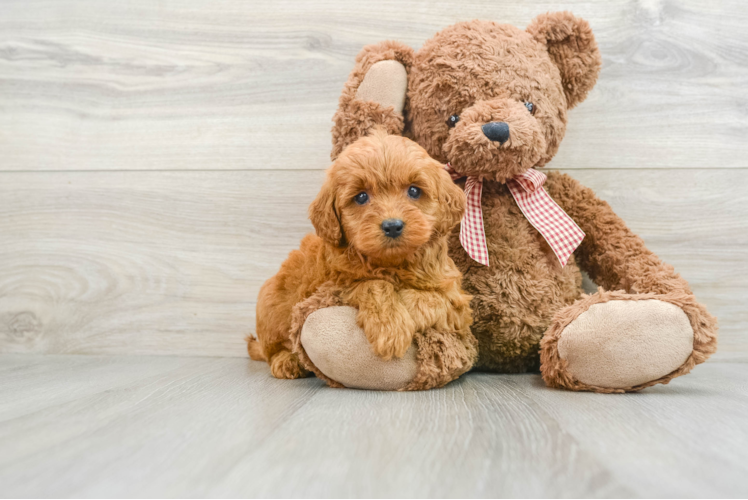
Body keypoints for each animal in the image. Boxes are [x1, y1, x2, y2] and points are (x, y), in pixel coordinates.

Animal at [251, 129, 474, 378]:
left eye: (414, 190)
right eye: (361, 197)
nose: (392, 226)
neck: (393, 263)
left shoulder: (458, 303)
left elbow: (434, 298)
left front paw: (405, 302)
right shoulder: (332, 285)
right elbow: (372, 283)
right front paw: (390, 327)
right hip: (271, 307)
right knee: (272, 349)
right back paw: (286, 361)